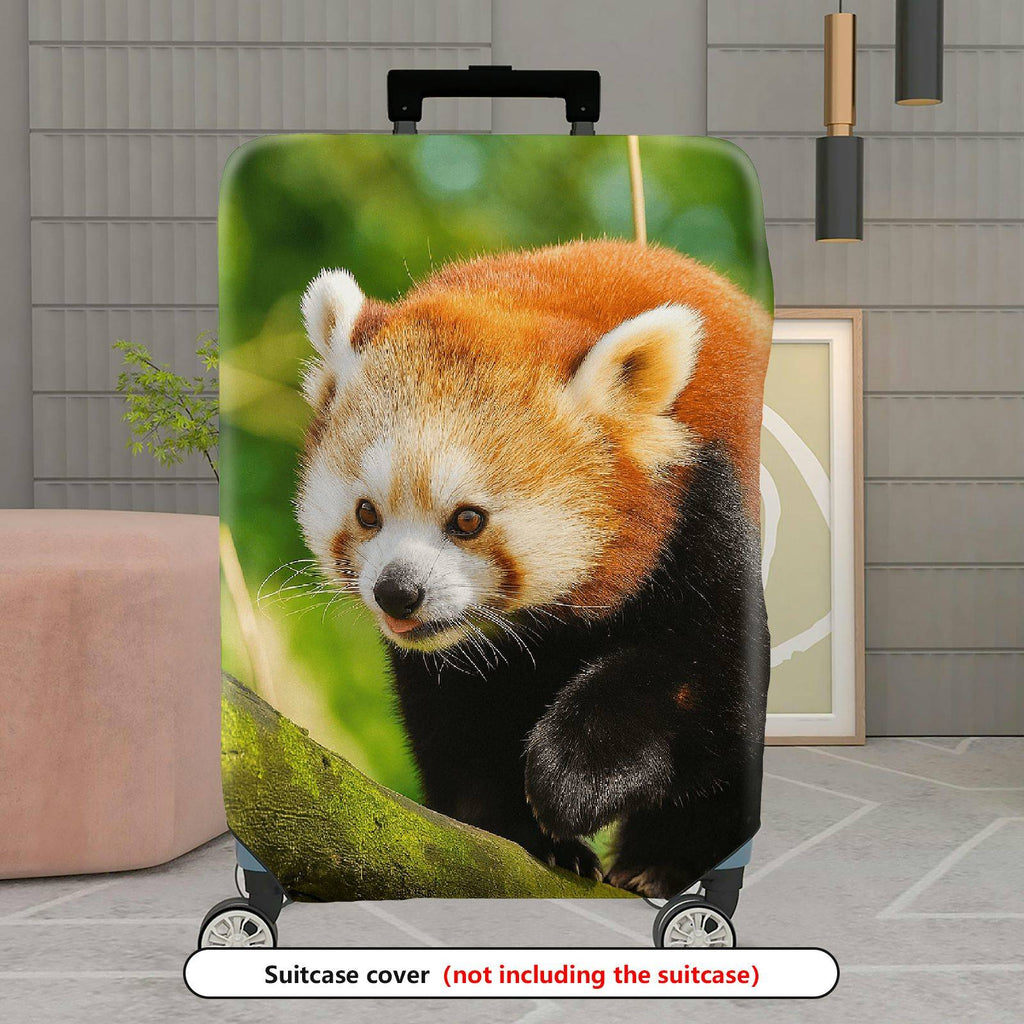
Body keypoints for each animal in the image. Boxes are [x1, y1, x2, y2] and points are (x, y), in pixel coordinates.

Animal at [296, 240, 772, 898]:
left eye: (467, 520)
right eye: (368, 513)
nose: (397, 593)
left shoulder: (708, 513)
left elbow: (706, 682)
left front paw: (575, 777)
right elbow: (458, 729)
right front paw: (525, 833)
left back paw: (663, 860)